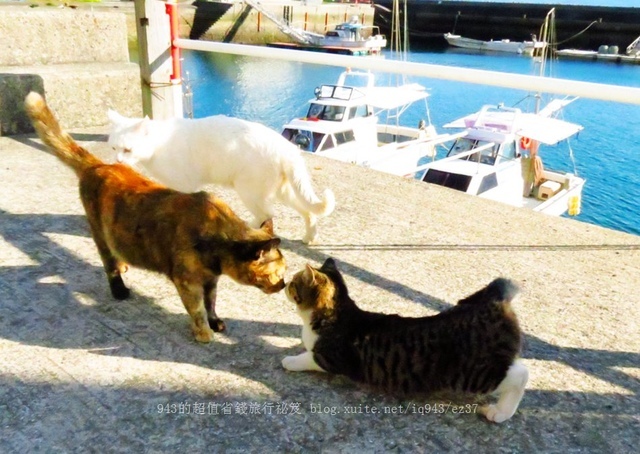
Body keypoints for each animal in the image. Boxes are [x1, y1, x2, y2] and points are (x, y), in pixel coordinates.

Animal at [24, 93, 284, 344]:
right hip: (99, 232)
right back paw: (119, 290)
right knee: (108, 264)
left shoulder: (211, 281)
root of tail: (101, 165)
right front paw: (204, 333)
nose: (283, 284)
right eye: (278, 273)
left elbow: (211, 303)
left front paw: (215, 322)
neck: (215, 246)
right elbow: (198, 310)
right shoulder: (188, 283)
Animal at [106, 111, 336, 243]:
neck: (158, 145)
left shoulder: (184, 185)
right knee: (308, 213)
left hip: (248, 190)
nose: (118, 161)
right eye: (114, 148)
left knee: (267, 214)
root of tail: (289, 149)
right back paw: (309, 238)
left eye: (127, 150)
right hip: (283, 191)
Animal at [282, 258, 528, 424]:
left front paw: (289, 360)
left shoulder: (330, 358)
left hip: (475, 374)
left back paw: (500, 412)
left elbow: (308, 357)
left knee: (520, 375)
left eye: (293, 283)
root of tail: (494, 301)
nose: (283, 283)